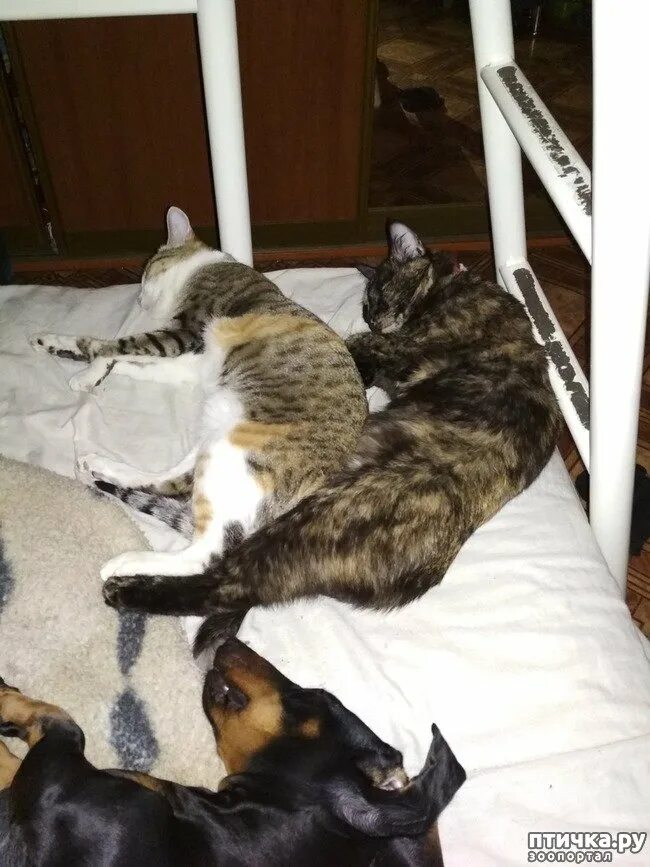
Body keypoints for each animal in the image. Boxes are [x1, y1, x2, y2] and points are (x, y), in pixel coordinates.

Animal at [32, 207, 368, 588]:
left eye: (146, 272)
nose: (139, 300)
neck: (206, 265)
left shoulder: (183, 333)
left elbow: (112, 346)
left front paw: (87, 370)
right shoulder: (188, 362)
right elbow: (124, 358)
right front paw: (59, 347)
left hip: (237, 450)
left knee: (203, 552)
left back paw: (122, 562)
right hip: (217, 433)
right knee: (171, 479)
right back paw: (99, 465)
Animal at [99, 221, 561, 653]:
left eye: (380, 295)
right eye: (369, 303)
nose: (375, 318)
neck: (452, 288)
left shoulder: (382, 348)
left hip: (305, 520)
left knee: (215, 570)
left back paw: (122, 580)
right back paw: (103, 469)